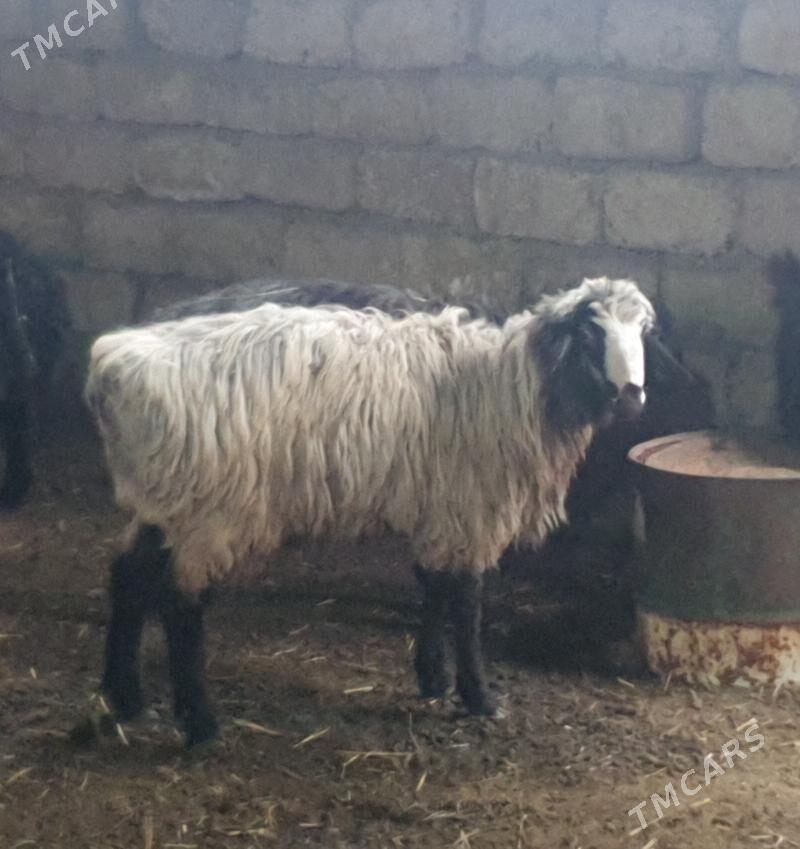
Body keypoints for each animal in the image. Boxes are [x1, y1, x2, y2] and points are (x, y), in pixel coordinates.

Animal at [85, 275, 657, 746]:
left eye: (642, 333)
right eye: (590, 334)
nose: (633, 398)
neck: (513, 383)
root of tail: (114, 367)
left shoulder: (440, 505)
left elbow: (435, 587)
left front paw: (432, 676)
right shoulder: (471, 503)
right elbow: (466, 600)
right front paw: (478, 696)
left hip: (163, 498)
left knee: (129, 576)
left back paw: (124, 697)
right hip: (211, 507)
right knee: (181, 604)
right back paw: (200, 724)